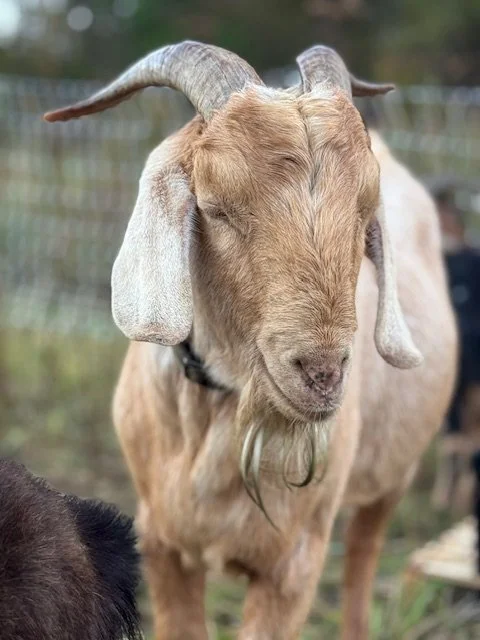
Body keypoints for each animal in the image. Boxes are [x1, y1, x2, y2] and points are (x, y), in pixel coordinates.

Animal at [45, 42, 457, 640]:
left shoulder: (294, 563)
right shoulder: (161, 544)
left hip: (391, 480)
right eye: (215, 207)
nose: (322, 373)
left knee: (361, 567)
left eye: (364, 215)